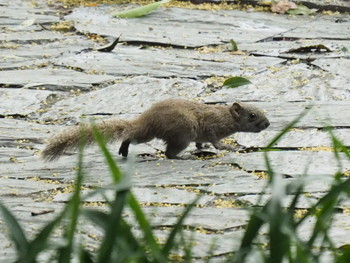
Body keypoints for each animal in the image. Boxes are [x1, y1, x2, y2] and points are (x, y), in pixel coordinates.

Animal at [41, 99, 270, 161]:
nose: (268, 124)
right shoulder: (214, 126)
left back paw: (124, 150)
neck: (225, 116)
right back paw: (182, 157)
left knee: (132, 136)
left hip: (149, 135)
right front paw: (228, 148)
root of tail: (146, 119)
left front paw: (201, 147)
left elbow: (201, 141)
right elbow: (216, 141)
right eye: (252, 115)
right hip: (182, 133)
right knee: (169, 153)